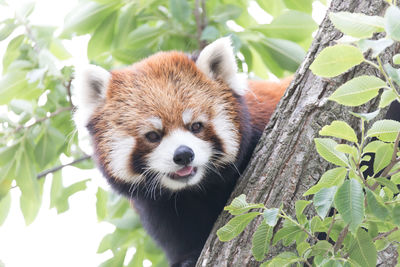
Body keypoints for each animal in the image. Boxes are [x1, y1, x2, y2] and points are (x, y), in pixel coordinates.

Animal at [74, 37, 288, 267]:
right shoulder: (161, 211)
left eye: (196, 126)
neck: (195, 191)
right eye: (153, 135)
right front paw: (188, 258)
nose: (184, 154)